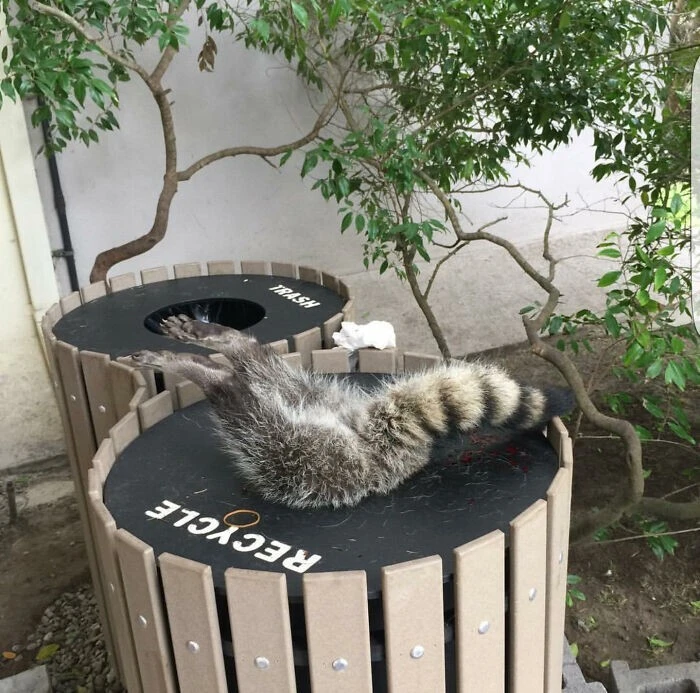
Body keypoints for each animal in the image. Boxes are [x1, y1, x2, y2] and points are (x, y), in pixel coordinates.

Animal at [131, 315, 573, 509]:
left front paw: (204, 369)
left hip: (303, 449)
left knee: (243, 400)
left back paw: (207, 369)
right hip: (313, 399)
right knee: (261, 366)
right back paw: (221, 344)